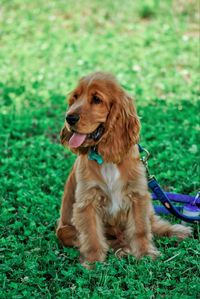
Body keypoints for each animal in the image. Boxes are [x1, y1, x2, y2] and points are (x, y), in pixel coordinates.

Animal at [56, 72, 191, 268]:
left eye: (97, 99)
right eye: (74, 98)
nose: (69, 118)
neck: (105, 156)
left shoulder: (138, 195)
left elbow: (141, 229)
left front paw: (145, 254)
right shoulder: (87, 201)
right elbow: (91, 235)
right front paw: (93, 262)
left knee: (153, 223)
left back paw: (176, 230)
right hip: (64, 231)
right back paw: (122, 249)